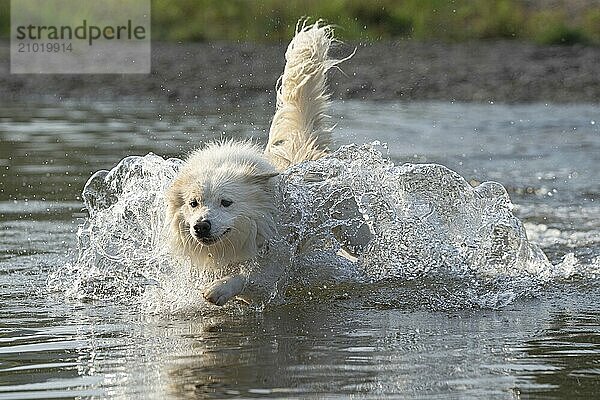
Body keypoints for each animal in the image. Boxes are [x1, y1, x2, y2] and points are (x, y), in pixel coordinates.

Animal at [166, 21, 350, 304]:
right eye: (193, 203)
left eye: (226, 202)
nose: (200, 226)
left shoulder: (276, 257)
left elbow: (249, 278)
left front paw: (220, 289)